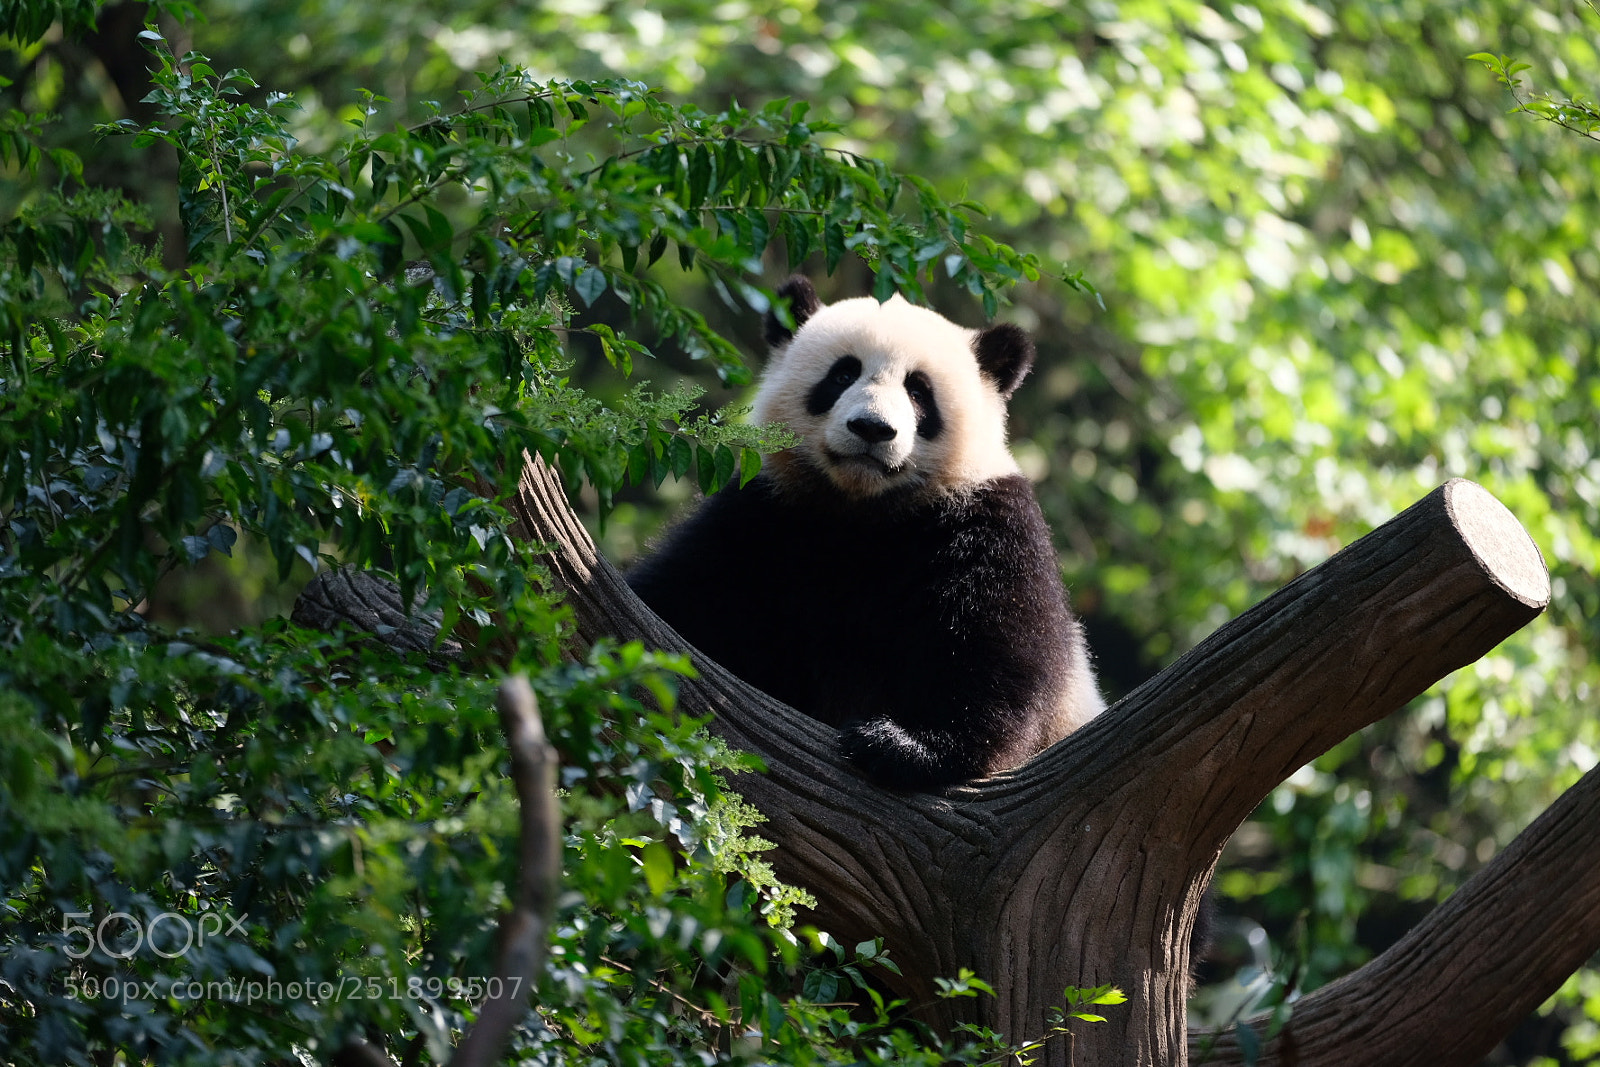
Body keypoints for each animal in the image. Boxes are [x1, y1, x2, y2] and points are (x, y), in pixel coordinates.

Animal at [625, 276, 1104, 790]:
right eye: (841, 375)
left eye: (918, 390)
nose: (872, 428)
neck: (864, 508)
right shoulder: (763, 514)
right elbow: (685, 592)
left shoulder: (985, 523)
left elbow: (998, 649)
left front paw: (904, 746)